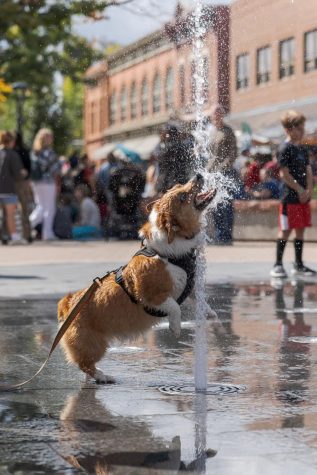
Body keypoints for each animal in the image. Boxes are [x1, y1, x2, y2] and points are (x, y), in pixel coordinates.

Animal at [57, 173, 215, 384]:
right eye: (182, 197)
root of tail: (68, 305)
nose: (197, 175)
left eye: (178, 185)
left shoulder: (189, 286)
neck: (170, 252)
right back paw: (104, 376)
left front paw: (209, 313)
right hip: (94, 345)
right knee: (85, 364)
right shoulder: (152, 297)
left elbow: (200, 299)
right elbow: (174, 306)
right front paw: (175, 328)